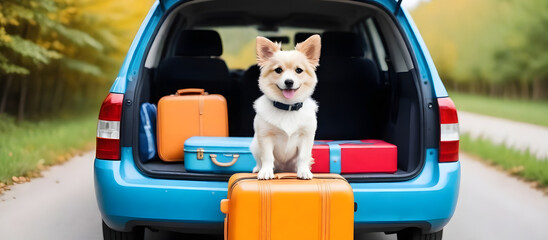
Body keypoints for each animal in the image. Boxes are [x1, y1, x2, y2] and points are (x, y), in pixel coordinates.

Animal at [249, 34, 322, 179]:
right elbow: (267, 157)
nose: (289, 82)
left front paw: (304, 171)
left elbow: (303, 157)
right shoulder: (265, 137)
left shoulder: (306, 136)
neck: (287, 107)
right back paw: (258, 168)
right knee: (259, 160)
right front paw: (266, 171)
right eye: (278, 70)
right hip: (255, 145)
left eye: (299, 70)